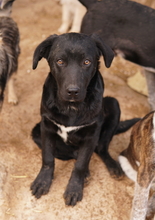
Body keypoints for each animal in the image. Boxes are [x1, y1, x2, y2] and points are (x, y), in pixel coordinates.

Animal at [30, 33, 139, 206]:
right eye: (60, 61)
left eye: (86, 62)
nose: (73, 91)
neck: (71, 108)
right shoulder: (46, 127)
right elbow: (48, 158)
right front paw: (42, 182)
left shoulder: (91, 134)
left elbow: (80, 164)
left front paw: (74, 189)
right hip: (36, 131)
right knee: (73, 153)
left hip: (114, 104)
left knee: (100, 148)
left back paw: (112, 166)